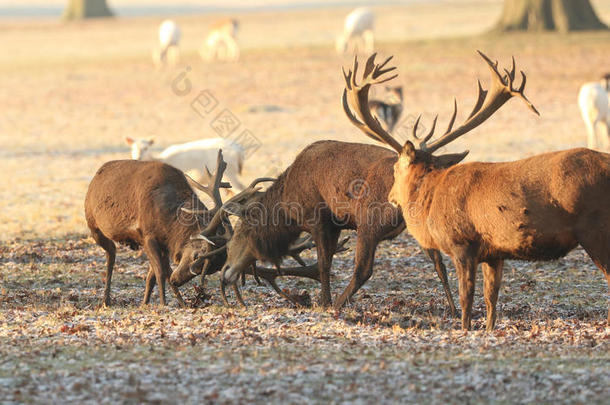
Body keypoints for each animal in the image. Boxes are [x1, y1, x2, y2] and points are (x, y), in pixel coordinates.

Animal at [342, 50, 608, 330]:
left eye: (395, 168)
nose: (391, 196)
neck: (430, 201)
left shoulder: (462, 243)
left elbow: (466, 299)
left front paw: (464, 329)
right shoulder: (494, 253)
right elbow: (491, 300)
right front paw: (489, 329)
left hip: (596, 229)